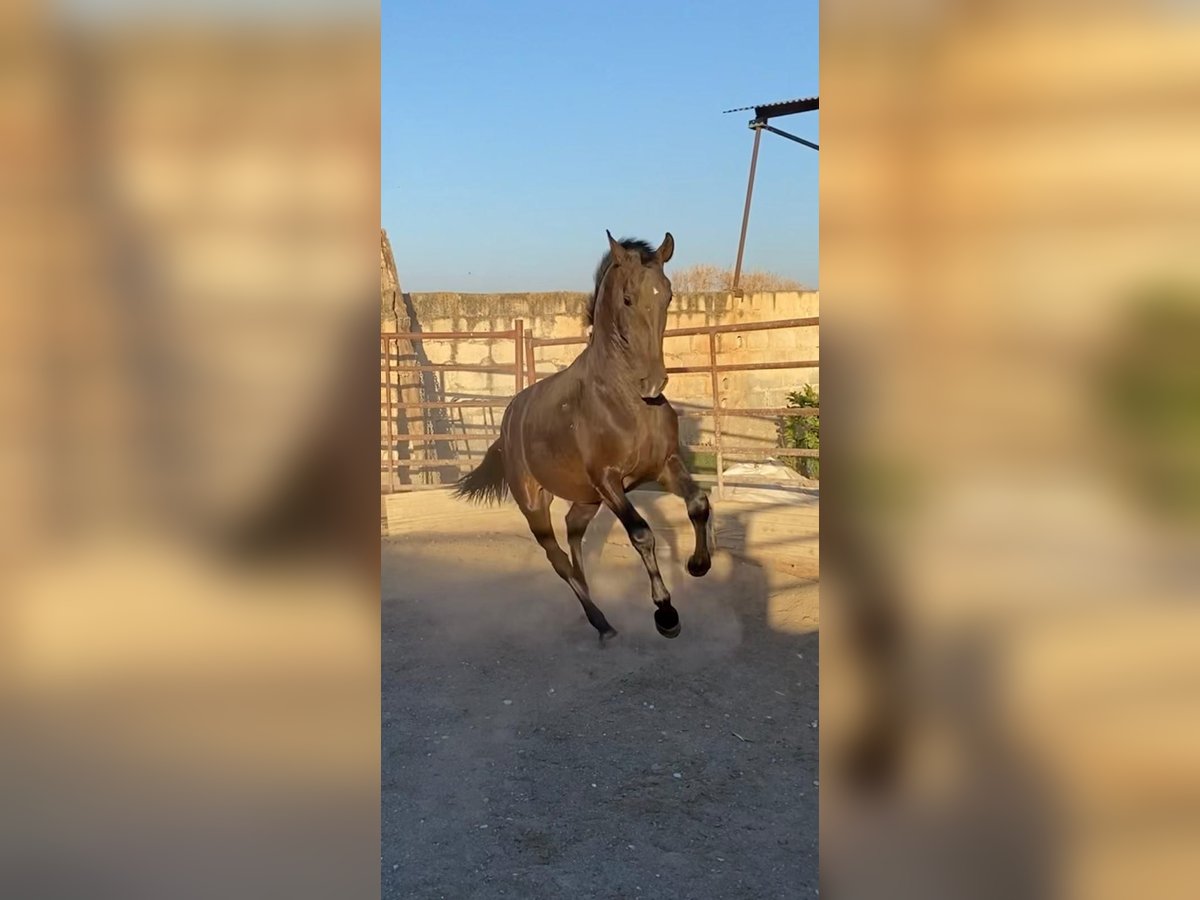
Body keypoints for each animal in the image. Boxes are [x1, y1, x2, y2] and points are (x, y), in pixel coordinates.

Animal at [451, 229, 710, 643]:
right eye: (627, 298)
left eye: (668, 294)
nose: (654, 382)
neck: (626, 401)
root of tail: (508, 423)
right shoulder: (608, 480)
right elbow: (642, 534)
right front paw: (666, 613)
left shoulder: (664, 467)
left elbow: (698, 503)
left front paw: (698, 565)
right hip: (535, 503)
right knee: (557, 556)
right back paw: (600, 622)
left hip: (587, 500)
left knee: (574, 533)